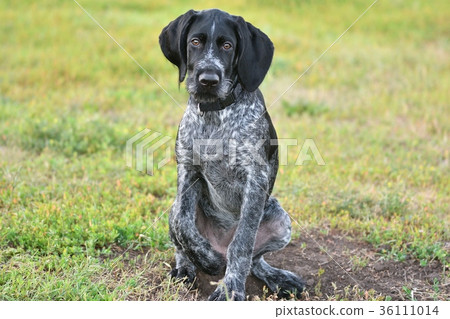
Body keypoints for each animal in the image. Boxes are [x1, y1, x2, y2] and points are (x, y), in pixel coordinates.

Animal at [159, 8, 306, 302]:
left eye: (227, 46)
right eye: (195, 42)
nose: (208, 80)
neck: (215, 114)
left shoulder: (255, 180)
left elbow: (242, 244)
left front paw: (231, 289)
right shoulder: (187, 170)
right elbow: (183, 226)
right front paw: (205, 259)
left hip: (279, 219)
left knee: (254, 259)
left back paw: (276, 277)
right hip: (175, 206)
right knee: (180, 239)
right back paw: (187, 267)